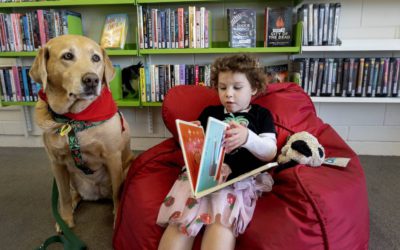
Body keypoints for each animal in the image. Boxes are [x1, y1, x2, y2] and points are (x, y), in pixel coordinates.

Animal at [30, 34, 133, 231]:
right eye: (68, 56)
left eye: (96, 58)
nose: (92, 80)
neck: (75, 119)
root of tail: (97, 194)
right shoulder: (56, 163)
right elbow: (63, 197)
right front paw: (66, 220)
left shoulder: (113, 157)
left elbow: (118, 195)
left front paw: (118, 219)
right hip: (72, 177)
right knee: (73, 194)